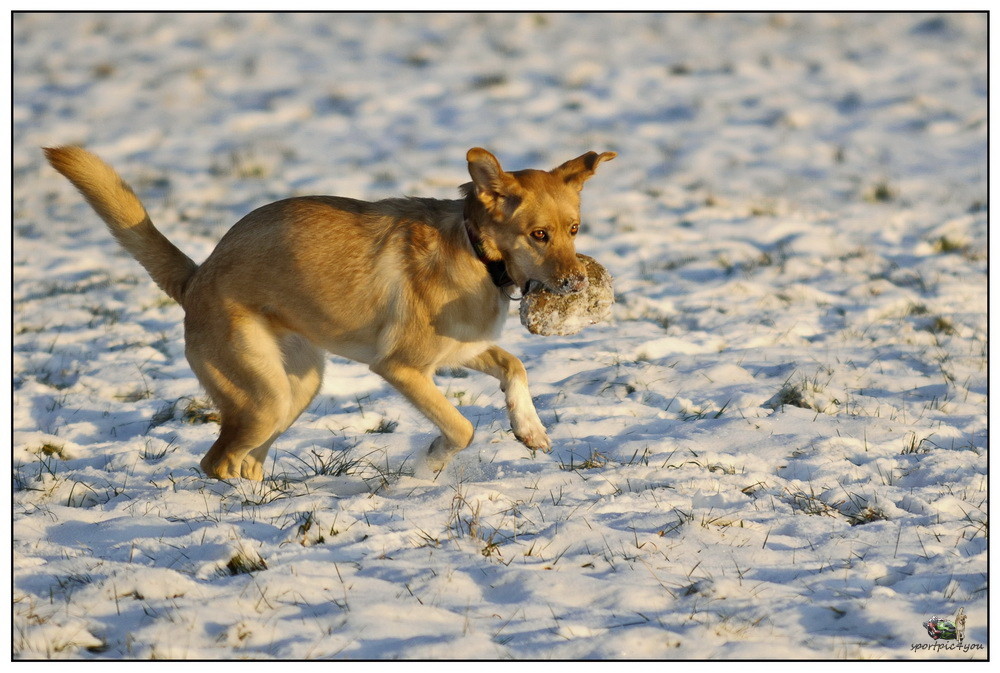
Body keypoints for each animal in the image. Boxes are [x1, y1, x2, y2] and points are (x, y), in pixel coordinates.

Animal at [45, 146, 616, 478]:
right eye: (538, 234)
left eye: (573, 229)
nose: (577, 283)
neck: (476, 250)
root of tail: (195, 277)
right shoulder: (401, 367)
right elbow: (459, 428)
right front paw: (430, 461)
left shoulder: (462, 349)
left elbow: (513, 367)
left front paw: (530, 429)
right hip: (264, 397)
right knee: (218, 461)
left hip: (297, 386)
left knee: (247, 459)